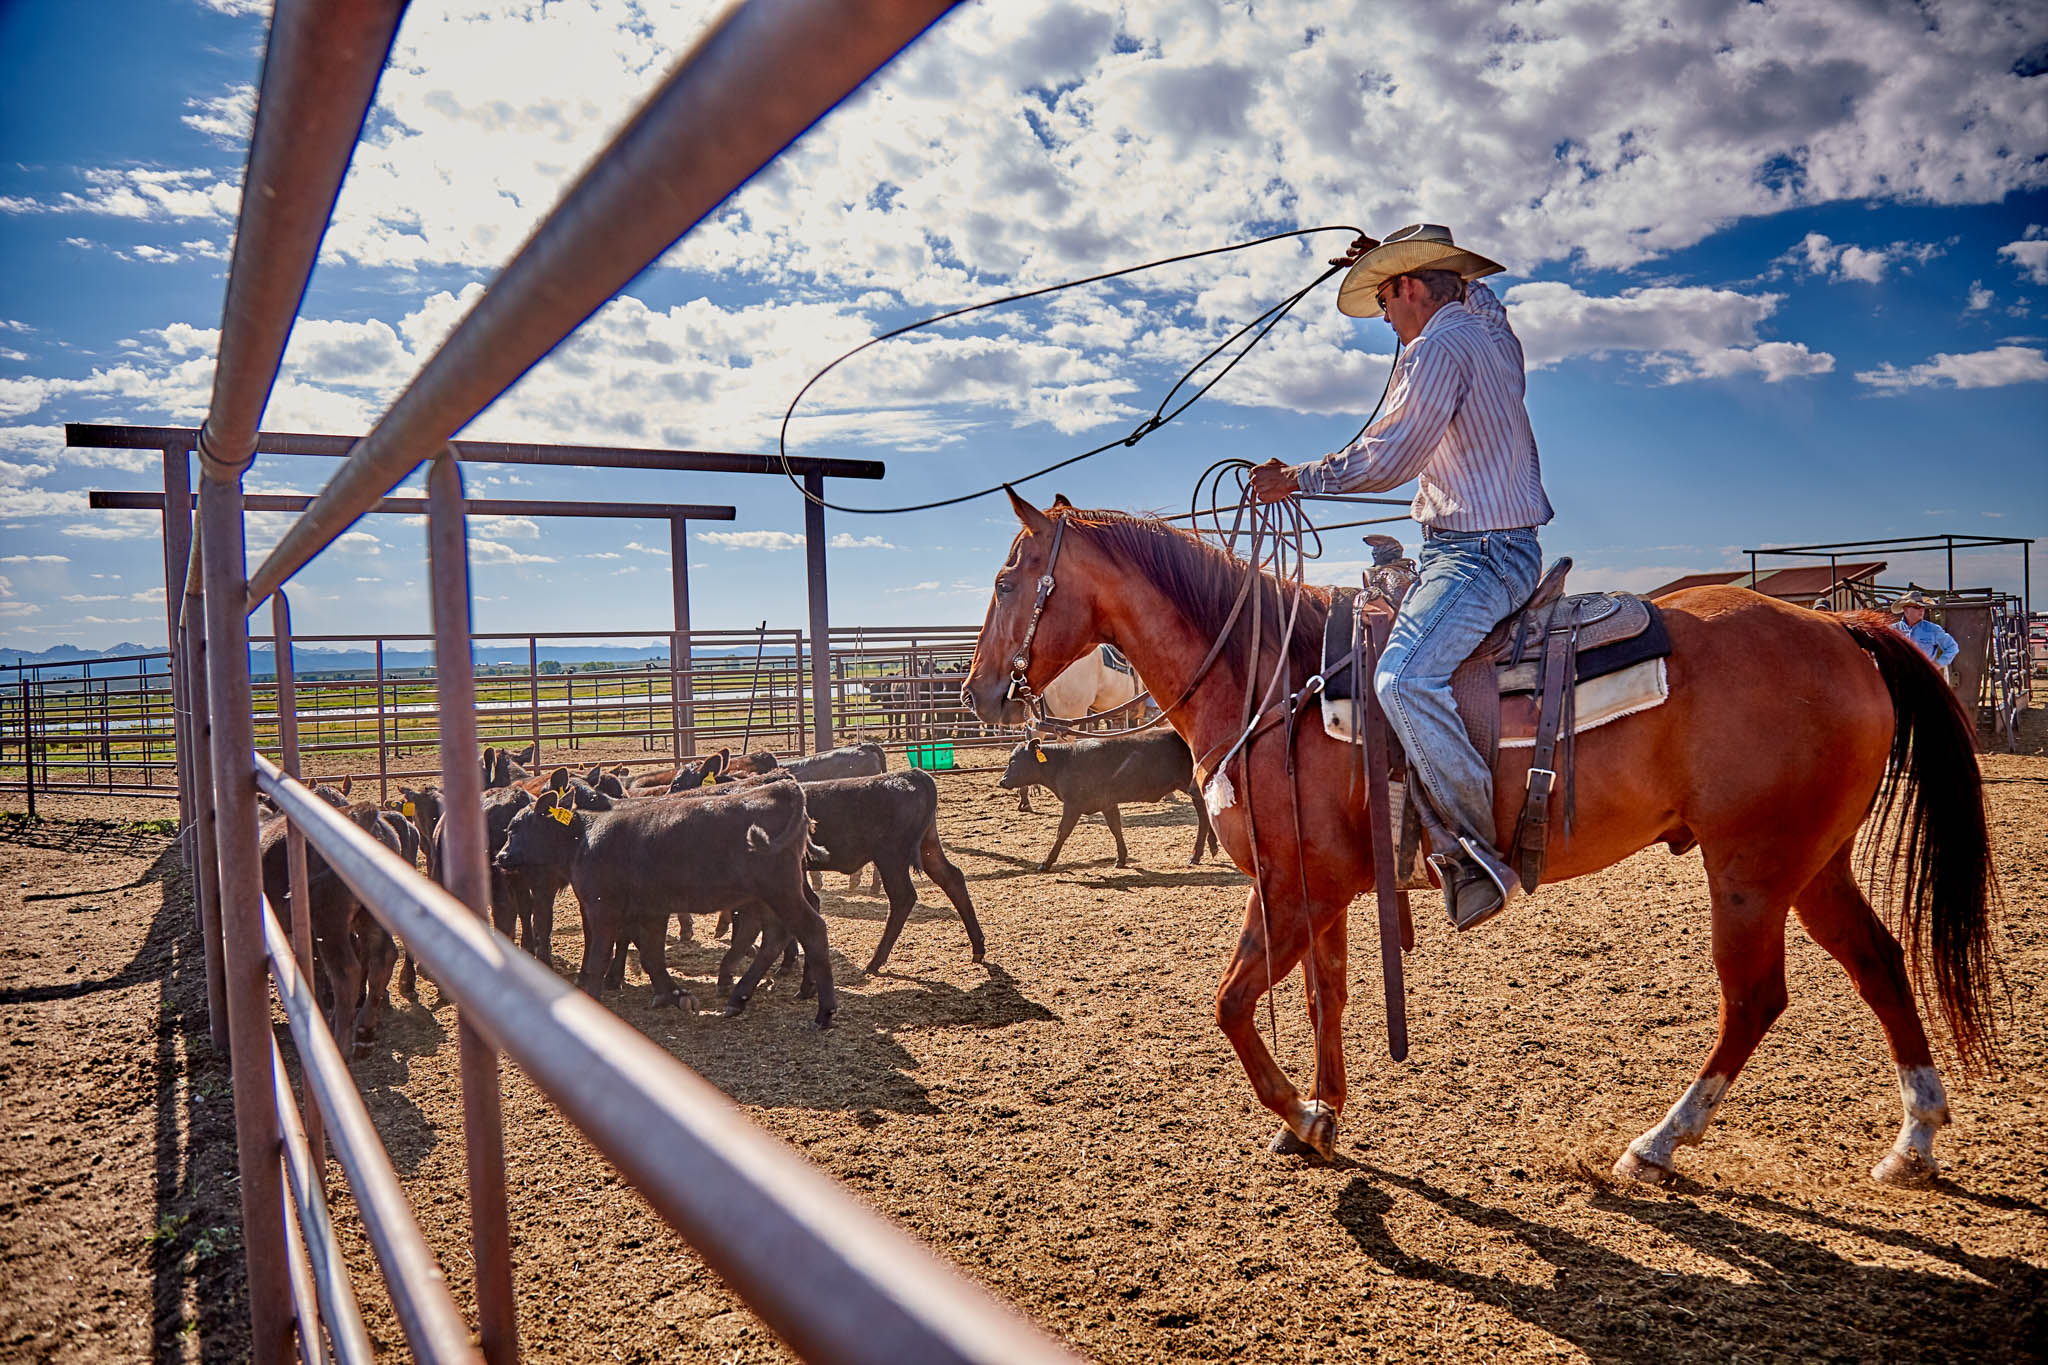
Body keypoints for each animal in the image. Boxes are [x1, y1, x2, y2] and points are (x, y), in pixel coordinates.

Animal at [962, 497, 1998, 1186]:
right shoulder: (1320, 889)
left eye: (1010, 577)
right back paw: (1914, 1139)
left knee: (1754, 999)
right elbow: (1326, 999)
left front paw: (1297, 1111)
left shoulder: (1294, 890)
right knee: (1878, 961)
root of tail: (1847, 627)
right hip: (1810, 863)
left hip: (1749, 868)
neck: (1274, 678)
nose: (975, 691)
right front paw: (1322, 1115)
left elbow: (1229, 1004)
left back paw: (1658, 1140)